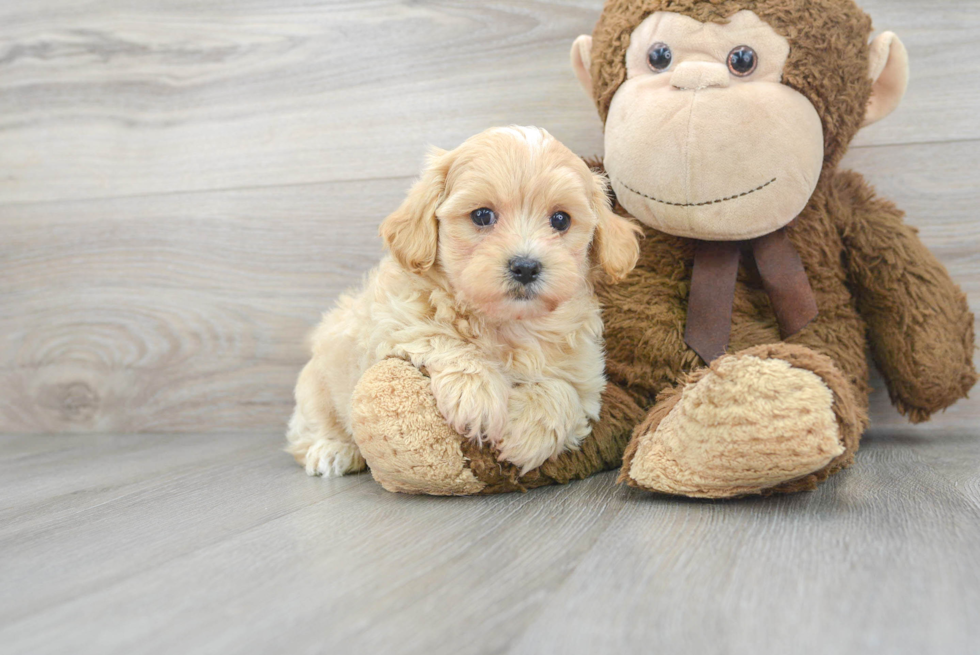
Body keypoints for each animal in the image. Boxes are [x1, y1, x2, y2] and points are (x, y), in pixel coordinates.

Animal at [288, 127, 644, 476]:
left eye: (560, 220)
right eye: (482, 216)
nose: (526, 266)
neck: (508, 324)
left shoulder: (587, 376)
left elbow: (565, 391)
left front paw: (528, 432)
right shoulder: (396, 321)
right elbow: (441, 337)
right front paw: (478, 395)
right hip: (316, 385)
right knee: (309, 427)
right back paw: (332, 450)